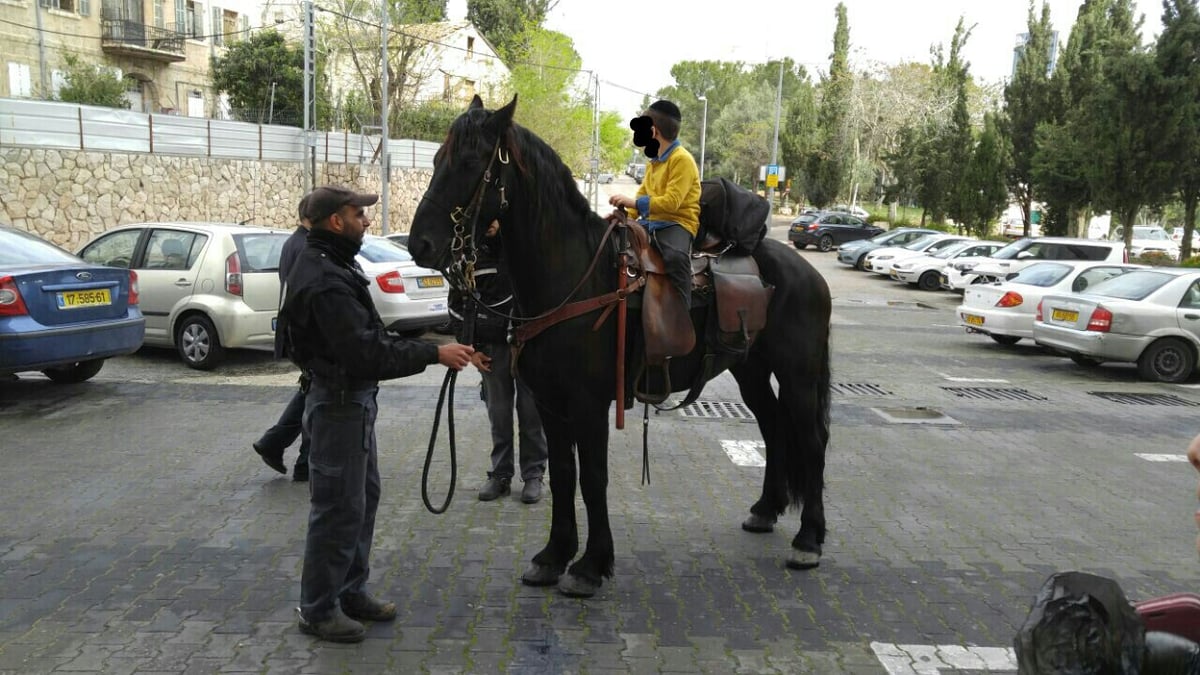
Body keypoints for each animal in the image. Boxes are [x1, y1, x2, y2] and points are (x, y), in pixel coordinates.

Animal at [408, 93, 830, 593]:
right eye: (436, 158)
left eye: (471, 161)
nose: (419, 244)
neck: (574, 278)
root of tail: (803, 269)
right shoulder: (551, 403)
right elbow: (564, 476)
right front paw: (554, 555)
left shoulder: (589, 405)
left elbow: (593, 479)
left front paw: (591, 565)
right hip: (750, 370)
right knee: (772, 426)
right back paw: (766, 510)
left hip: (799, 375)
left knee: (812, 441)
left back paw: (809, 539)